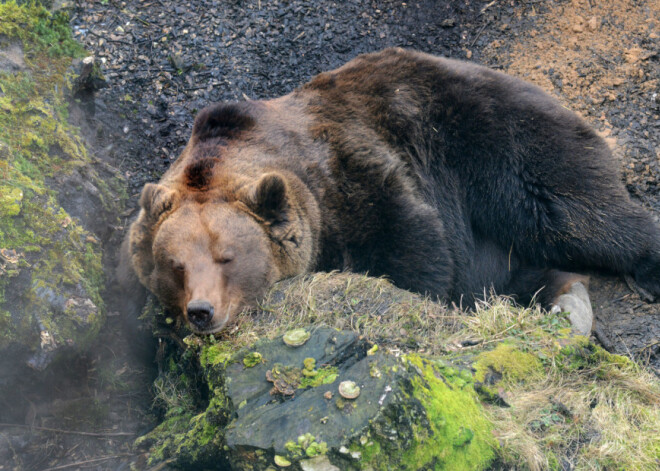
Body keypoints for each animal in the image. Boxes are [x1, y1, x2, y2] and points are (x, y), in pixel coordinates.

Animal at [118, 48, 660, 336]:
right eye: (175, 265)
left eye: (227, 257)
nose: (202, 311)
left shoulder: (357, 174)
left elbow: (413, 249)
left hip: (495, 139)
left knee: (571, 206)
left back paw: (642, 268)